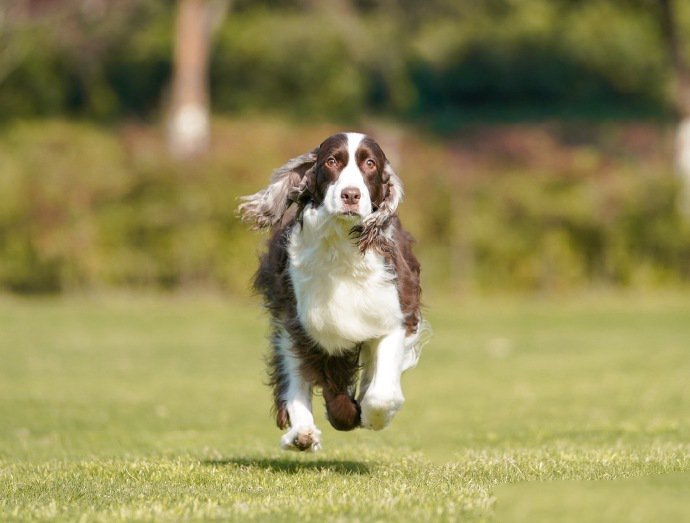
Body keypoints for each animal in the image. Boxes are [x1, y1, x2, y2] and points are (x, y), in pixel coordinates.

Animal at [241, 133, 424, 452]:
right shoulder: (309, 327)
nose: (351, 195)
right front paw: (342, 413)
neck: (341, 247)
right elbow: (321, 380)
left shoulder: (394, 314)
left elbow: (381, 393)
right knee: (293, 374)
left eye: (370, 163)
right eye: (331, 161)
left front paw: (370, 416)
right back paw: (301, 434)